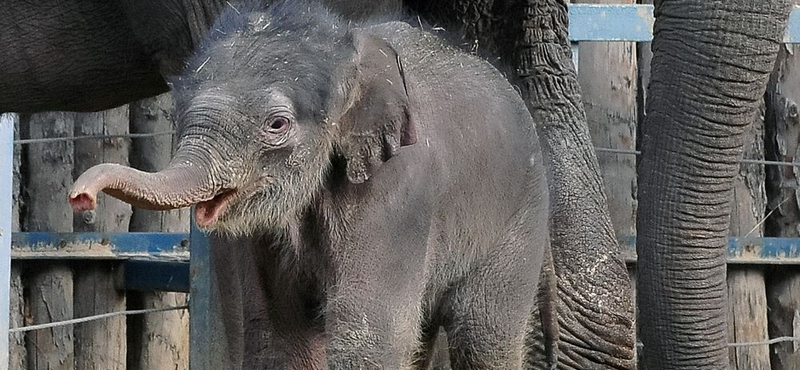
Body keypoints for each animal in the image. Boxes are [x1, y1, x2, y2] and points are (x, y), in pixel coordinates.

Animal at [70, 1, 552, 368]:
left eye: (277, 124)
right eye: (179, 111)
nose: (81, 198)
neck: (348, 53)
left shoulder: (398, 189)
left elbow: (368, 333)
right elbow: (278, 333)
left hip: (522, 219)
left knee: (484, 333)